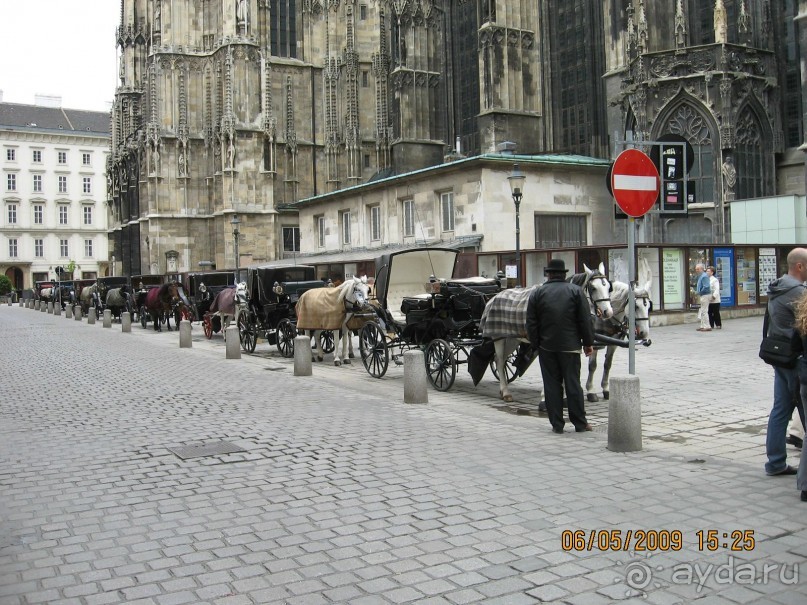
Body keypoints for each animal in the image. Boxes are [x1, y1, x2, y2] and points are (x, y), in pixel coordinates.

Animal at [480, 264, 612, 402]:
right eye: (593, 288)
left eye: (608, 287)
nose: (608, 312)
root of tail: (494, 297)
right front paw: (546, 396)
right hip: (498, 337)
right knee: (499, 361)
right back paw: (505, 392)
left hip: (512, 338)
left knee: (501, 359)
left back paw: (503, 389)